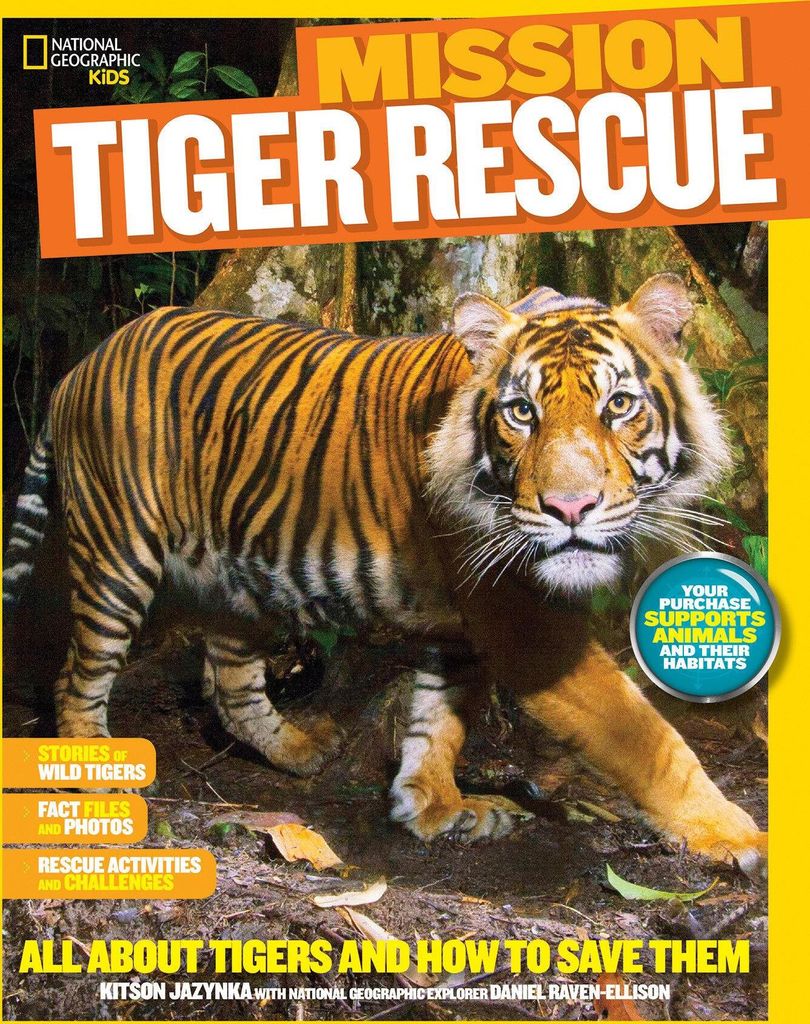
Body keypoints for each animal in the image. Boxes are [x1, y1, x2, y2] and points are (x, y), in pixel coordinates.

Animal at [3, 272, 766, 876]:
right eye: (522, 412)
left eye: (619, 406)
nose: (570, 507)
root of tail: (80, 366)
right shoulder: (524, 624)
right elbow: (649, 740)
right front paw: (737, 835)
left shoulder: (466, 623)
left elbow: (439, 720)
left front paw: (432, 807)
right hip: (117, 552)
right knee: (78, 677)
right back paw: (99, 779)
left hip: (239, 579)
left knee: (232, 683)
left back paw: (302, 750)